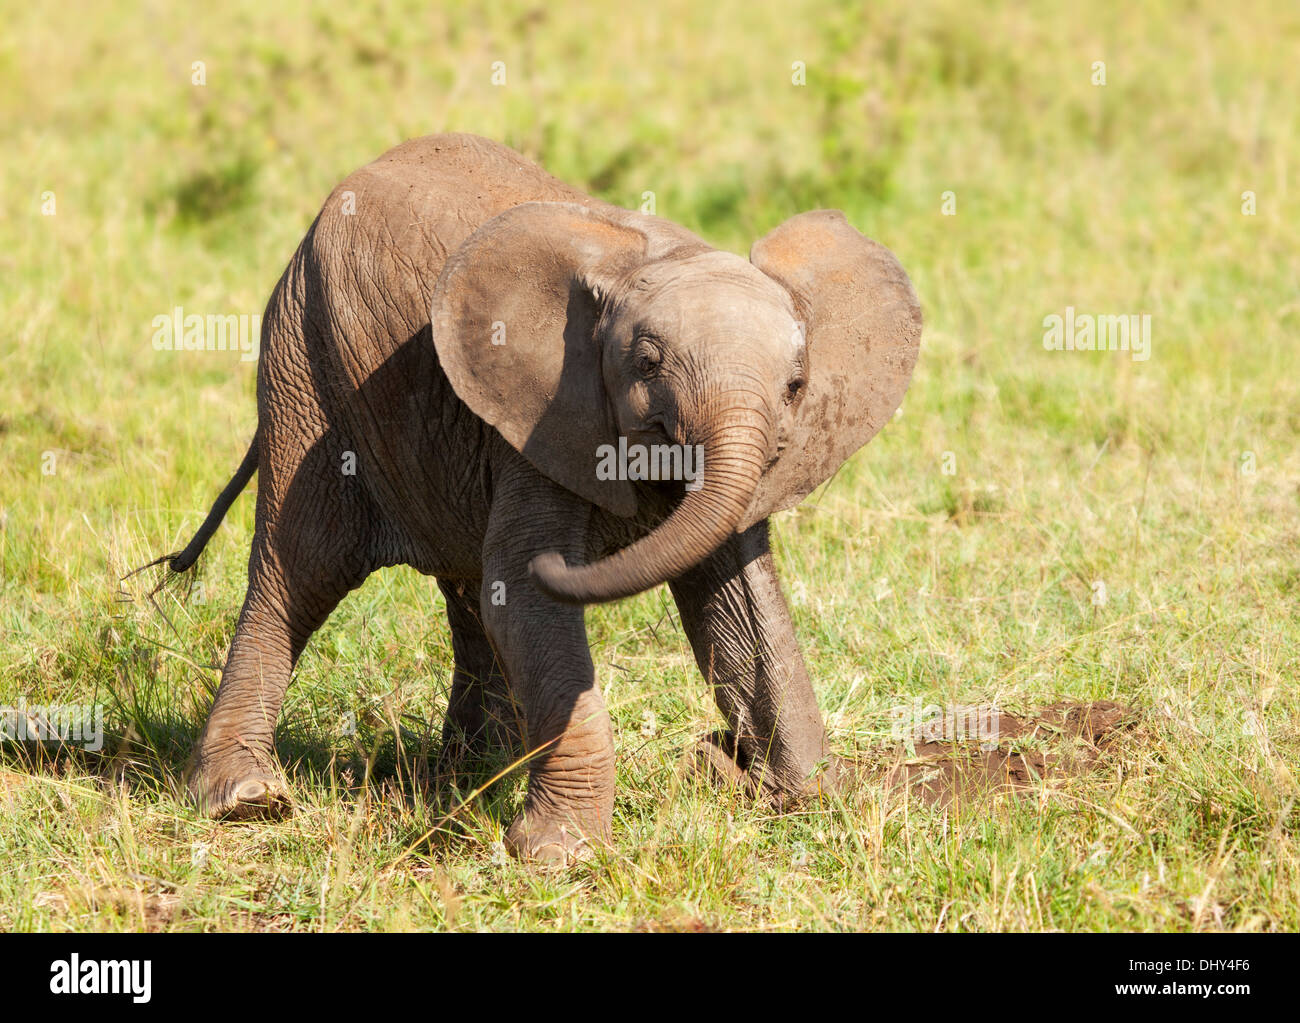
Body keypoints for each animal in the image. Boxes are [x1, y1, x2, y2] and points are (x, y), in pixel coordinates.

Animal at [165, 129, 925, 863]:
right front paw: (559, 855)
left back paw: (473, 775)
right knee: (302, 567)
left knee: (465, 591)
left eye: (795, 386)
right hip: (304, 357)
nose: (717, 755)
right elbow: (525, 592)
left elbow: (741, 603)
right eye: (646, 364)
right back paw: (245, 799)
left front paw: (810, 797)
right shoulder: (543, 416)